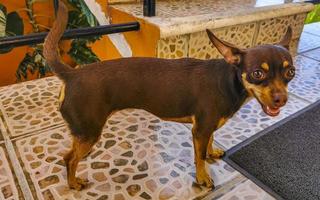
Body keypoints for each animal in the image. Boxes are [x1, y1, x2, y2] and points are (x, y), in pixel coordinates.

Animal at [43, 0, 296, 190]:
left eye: (290, 72)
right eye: (257, 73)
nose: (281, 99)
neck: (229, 82)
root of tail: (71, 74)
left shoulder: (207, 127)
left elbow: (209, 144)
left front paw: (212, 153)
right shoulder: (200, 130)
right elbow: (198, 157)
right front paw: (203, 178)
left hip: (84, 132)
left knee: (71, 154)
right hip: (90, 131)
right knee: (69, 159)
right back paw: (74, 183)